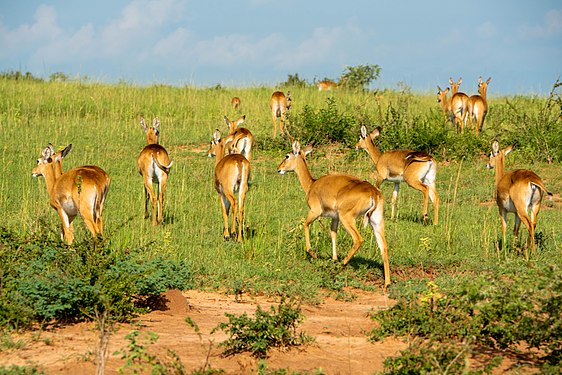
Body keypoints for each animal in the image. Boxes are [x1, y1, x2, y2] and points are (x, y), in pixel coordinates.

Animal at [276, 141, 390, 290]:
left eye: (287, 156)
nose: (279, 169)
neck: (312, 185)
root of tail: (373, 192)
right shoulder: (334, 218)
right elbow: (333, 233)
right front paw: (334, 258)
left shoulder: (315, 212)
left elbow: (305, 224)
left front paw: (313, 253)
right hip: (376, 221)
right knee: (384, 247)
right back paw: (387, 283)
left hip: (347, 218)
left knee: (358, 239)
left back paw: (343, 263)